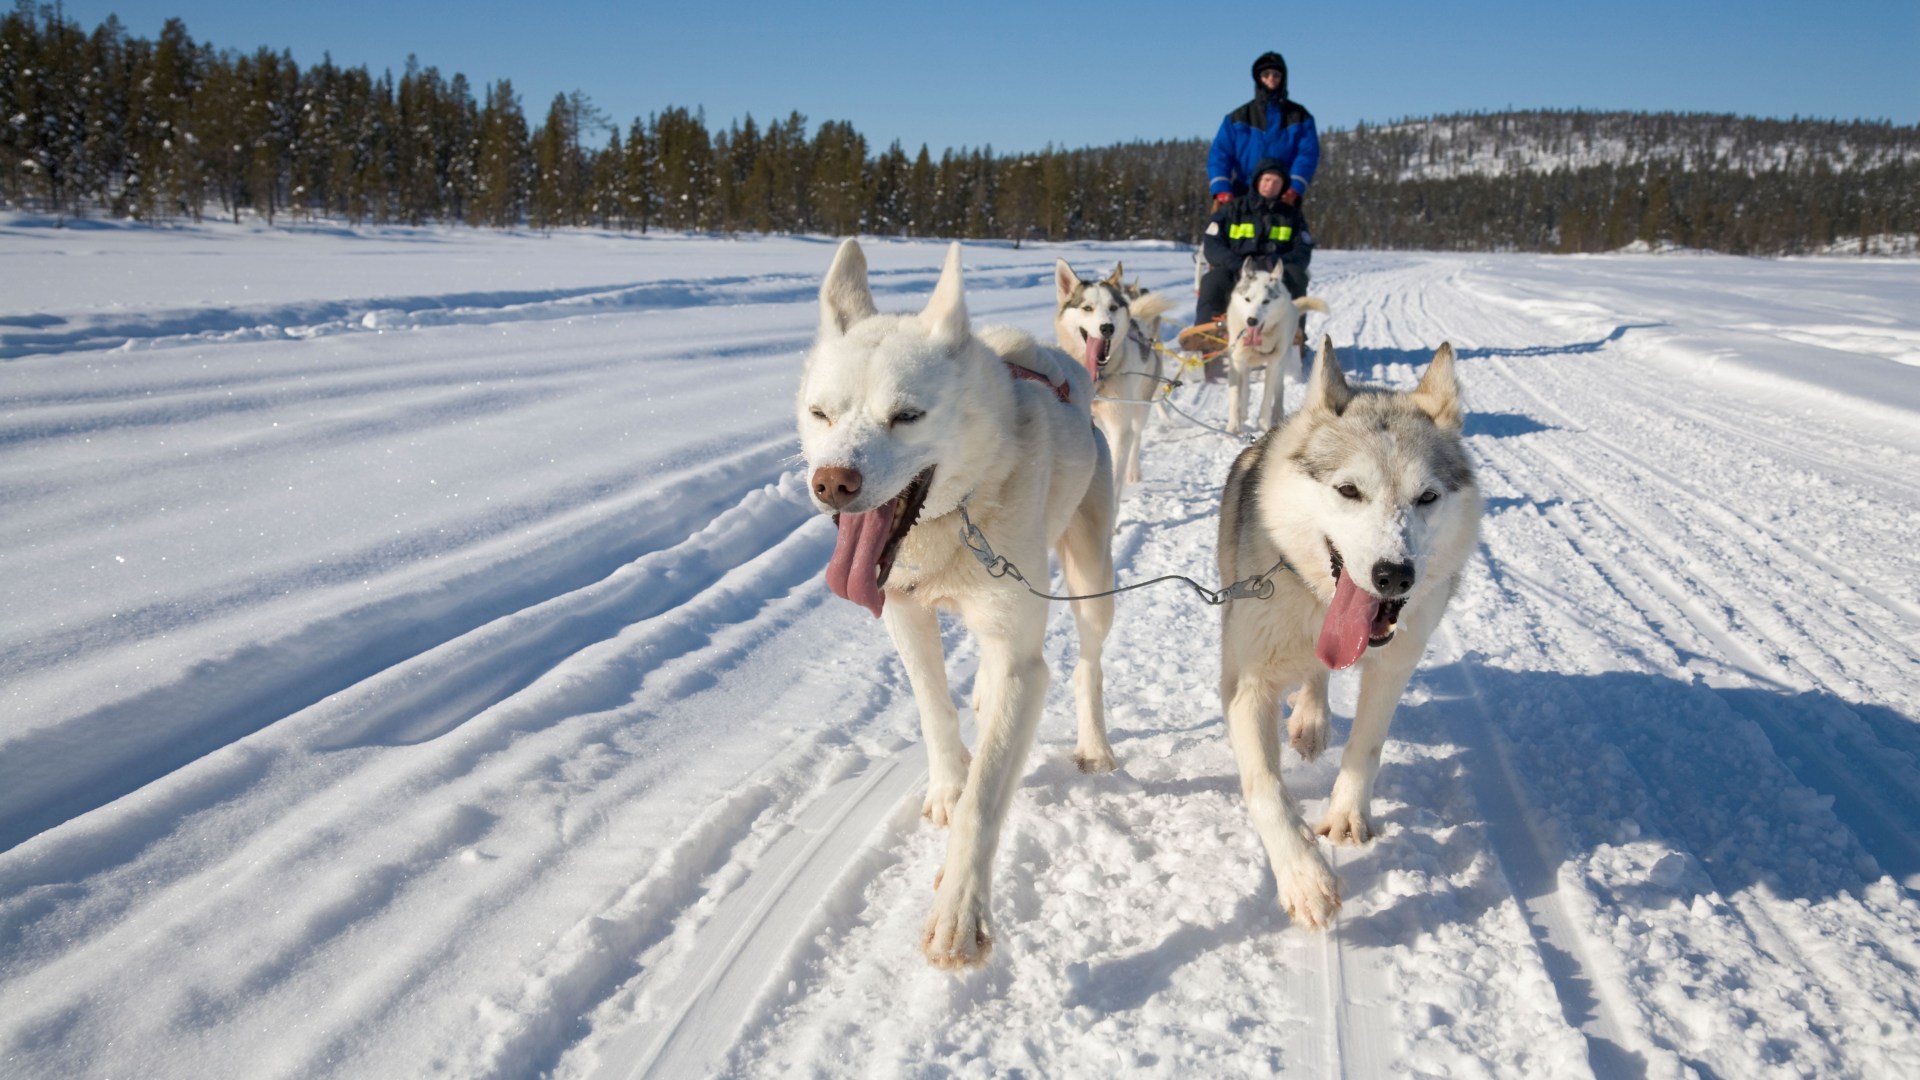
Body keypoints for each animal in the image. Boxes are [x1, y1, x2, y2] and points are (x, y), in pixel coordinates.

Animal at [798, 239, 1121, 960]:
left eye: (907, 415)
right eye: (820, 413)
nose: (832, 482)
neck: (957, 518)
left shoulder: (1023, 664)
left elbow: (987, 795)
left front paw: (959, 909)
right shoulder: (904, 614)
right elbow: (932, 708)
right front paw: (948, 780)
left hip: (1092, 578)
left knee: (1088, 663)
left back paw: (1093, 742)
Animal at [1213, 338, 1482, 926]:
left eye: (1427, 497)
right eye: (1348, 490)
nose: (1393, 574)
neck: (1319, 601)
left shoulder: (1394, 668)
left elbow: (1367, 746)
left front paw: (1345, 815)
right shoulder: (1248, 686)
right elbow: (1266, 787)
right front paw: (1304, 879)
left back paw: (1313, 722)